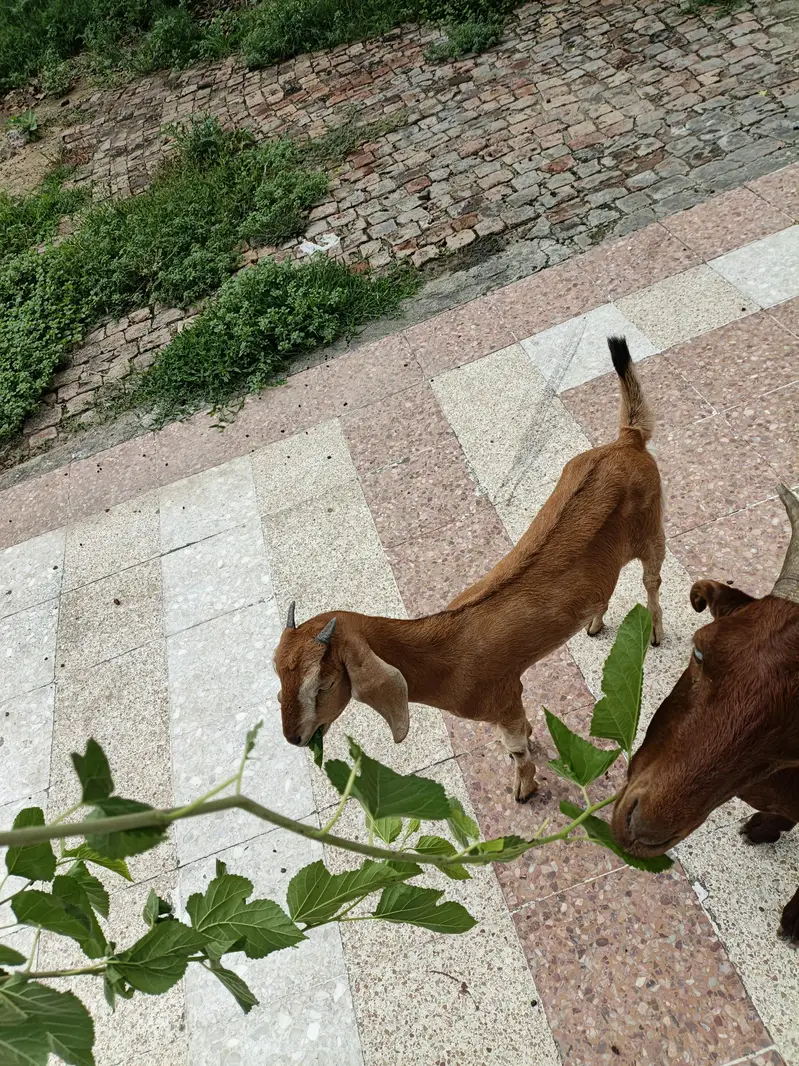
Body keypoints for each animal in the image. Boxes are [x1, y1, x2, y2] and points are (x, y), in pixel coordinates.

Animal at [274, 337, 666, 803]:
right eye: (278, 675)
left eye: (324, 685)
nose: (294, 738)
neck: (445, 652)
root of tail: (628, 441)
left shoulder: (502, 695)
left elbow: (514, 745)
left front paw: (524, 788)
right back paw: (593, 623)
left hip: (652, 525)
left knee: (652, 579)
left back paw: (656, 633)